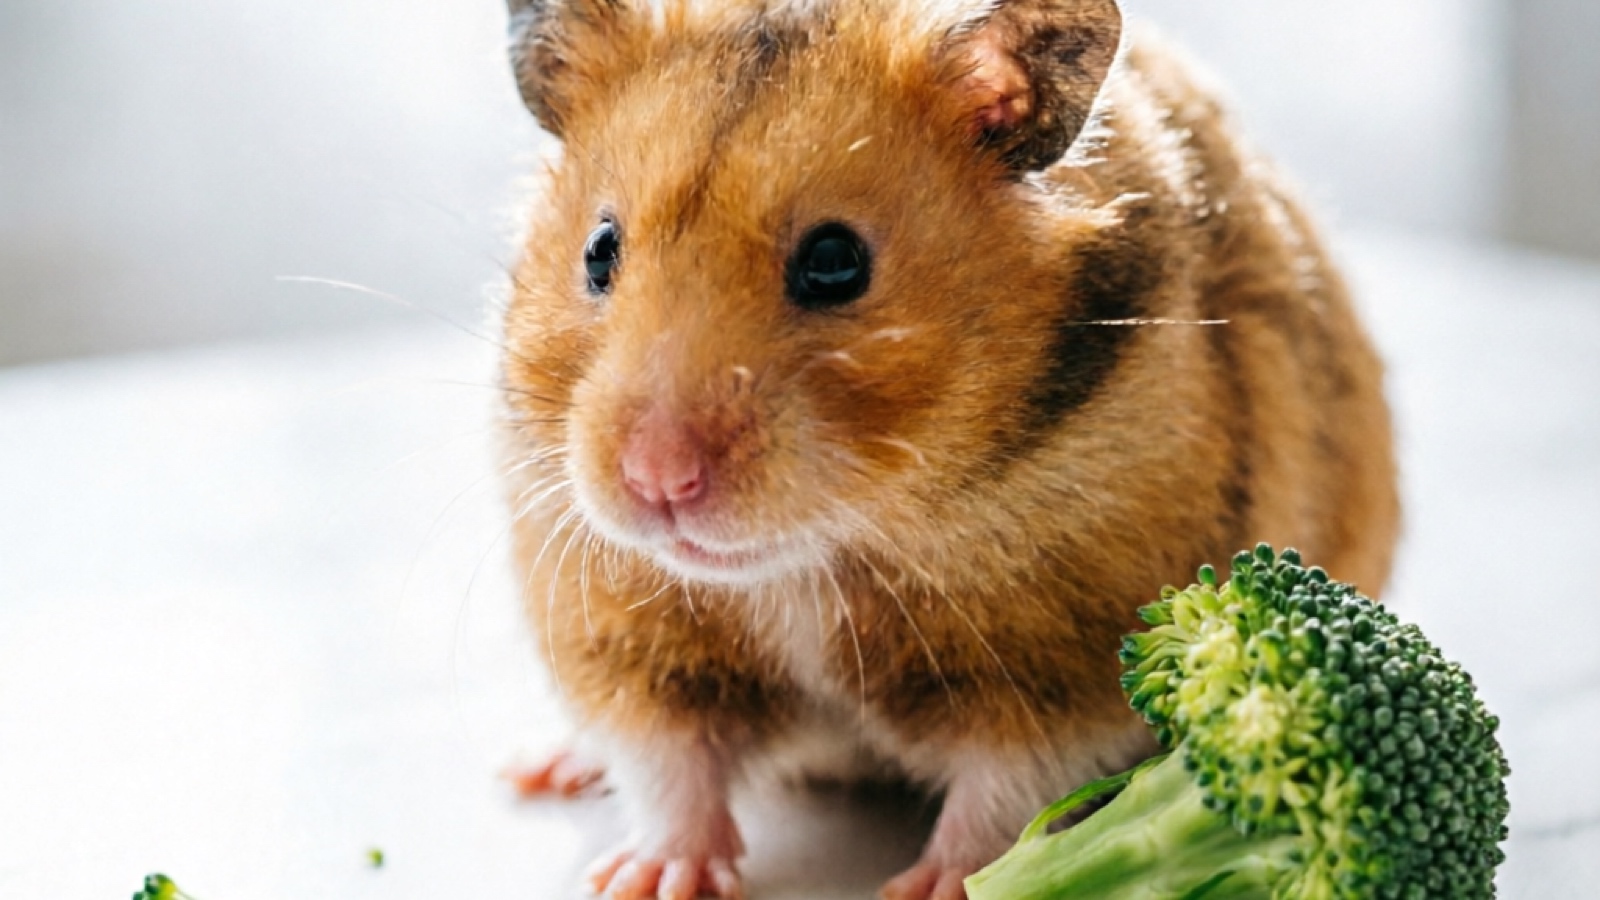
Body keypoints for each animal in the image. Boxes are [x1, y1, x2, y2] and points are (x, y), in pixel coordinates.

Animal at [496, 0, 1400, 897]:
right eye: (599, 249)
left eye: (836, 262)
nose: (656, 480)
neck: (819, 556)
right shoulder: (620, 639)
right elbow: (668, 764)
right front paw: (642, 880)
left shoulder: (1064, 666)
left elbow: (1004, 790)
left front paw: (937, 886)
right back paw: (548, 769)